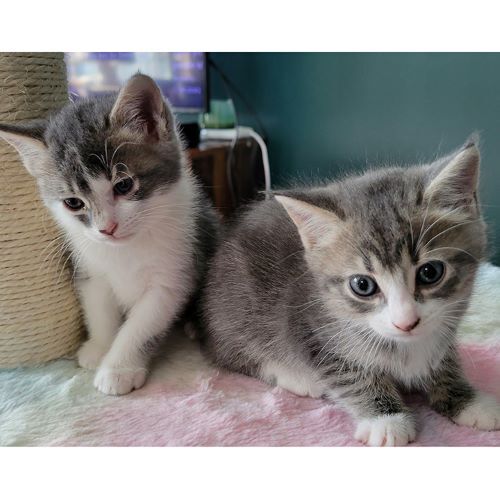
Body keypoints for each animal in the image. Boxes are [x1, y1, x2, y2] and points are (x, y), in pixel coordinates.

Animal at [0, 73, 219, 394]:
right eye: (73, 202)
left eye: (124, 185)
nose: (107, 228)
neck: (126, 250)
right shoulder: (90, 269)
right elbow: (99, 310)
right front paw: (100, 347)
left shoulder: (174, 276)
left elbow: (141, 326)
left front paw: (118, 368)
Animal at [202, 137, 500, 446]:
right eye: (363, 285)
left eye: (430, 273)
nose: (406, 322)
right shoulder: (312, 331)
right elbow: (351, 376)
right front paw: (387, 419)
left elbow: (444, 361)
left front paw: (468, 400)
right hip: (236, 308)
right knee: (231, 354)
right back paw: (296, 377)